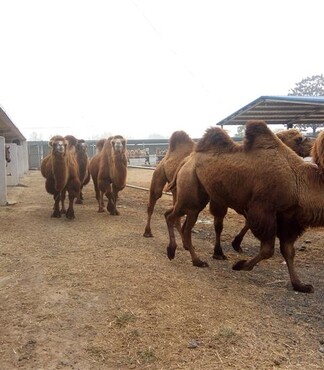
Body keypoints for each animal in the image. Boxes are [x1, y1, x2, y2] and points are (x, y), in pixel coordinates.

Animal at [165, 120, 324, 294]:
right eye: (299, 139)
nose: (310, 144)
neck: (298, 181)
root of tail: (187, 160)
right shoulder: (263, 210)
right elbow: (267, 249)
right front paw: (240, 265)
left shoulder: (289, 218)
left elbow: (288, 250)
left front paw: (301, 285)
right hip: (190, 191)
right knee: (173, 217)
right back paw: (179, 254)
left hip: (198, 196)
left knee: (179, 219)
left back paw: (193, 257)